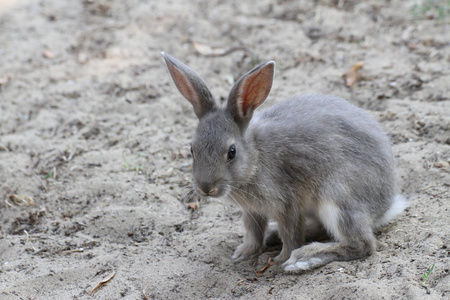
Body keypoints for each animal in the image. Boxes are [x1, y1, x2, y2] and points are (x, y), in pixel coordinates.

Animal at [163, 52, 408, 274]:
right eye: (192, 149)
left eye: (231, 152)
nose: (206, 188)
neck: (256, 157)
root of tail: (385, 205)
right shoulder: (253, 211)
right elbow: (253, 231)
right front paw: (244, 253)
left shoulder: (286, 204)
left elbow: (290, 233)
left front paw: (281, 259)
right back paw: (274, 237)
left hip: (337, 198)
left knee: (362, 244)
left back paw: (303, 258)